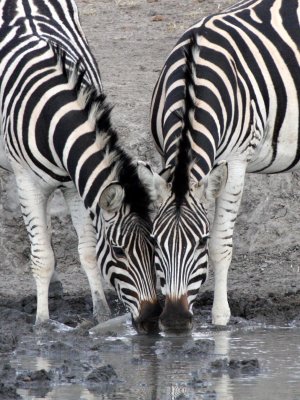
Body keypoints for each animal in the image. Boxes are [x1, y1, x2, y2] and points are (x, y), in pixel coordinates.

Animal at [0, 0, 161, 332]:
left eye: (155, 245)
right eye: (118, 251)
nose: (152, 320)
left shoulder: (76, 185)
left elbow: (86, 249)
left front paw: (100, 312)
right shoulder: (27, 182)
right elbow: (41, 255)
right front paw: (42, 322)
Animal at [138, 0, 300, 332]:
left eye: (200, 243)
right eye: (155, 242)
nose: (174, 321)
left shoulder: (235, 162)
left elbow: (221, 243)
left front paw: (220, 317)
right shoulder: (163, 155)